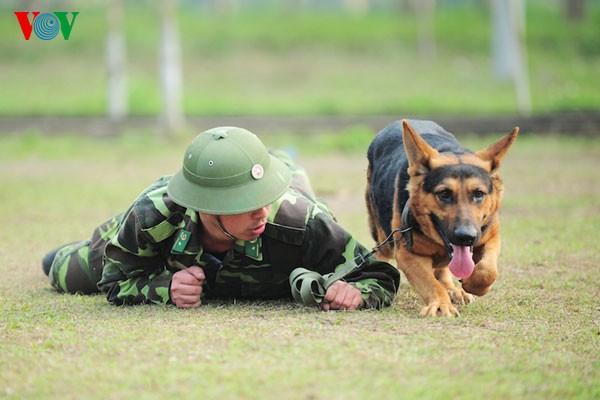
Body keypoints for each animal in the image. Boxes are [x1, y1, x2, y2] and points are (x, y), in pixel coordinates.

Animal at [364, 119, 516, 316]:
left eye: (479, 194)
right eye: (444, 194)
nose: (466, 237)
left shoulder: (491, 237)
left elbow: (487, 271)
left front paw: (471, 284)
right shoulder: (408, 254)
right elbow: (430, 283)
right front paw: (440, 304)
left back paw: (452, 289)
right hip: (384, 237)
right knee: (381, 252)